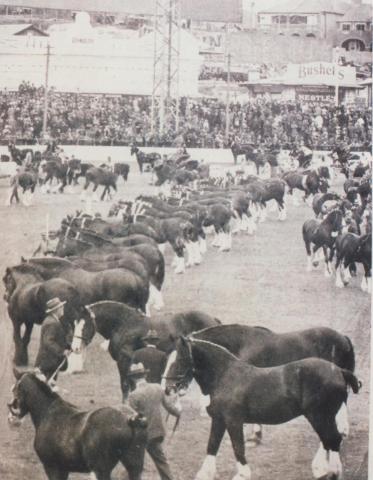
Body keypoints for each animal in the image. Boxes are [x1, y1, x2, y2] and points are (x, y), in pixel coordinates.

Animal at [7, 372, 147, 480]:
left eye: (15, 389)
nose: (11, 419)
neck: (48, 412)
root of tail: (128, 418)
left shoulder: (52, 467)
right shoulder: (63, 470)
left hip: (101, 470)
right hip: (134, 465)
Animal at [164, 336, 358, 480]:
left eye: (180, 359)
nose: (168, 389)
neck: (225, 376)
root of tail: (339, 371)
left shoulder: (233, 421)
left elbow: (238, 447)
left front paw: (242, 475)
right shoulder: (219, 420)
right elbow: (212, 445)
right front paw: (205, 474)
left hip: (319, 416)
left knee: (332, 439)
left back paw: (331, 472)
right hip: (323, 417)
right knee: (328, 440)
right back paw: (322, 469)